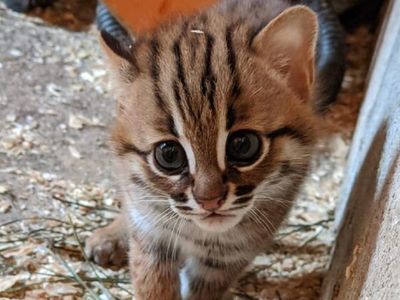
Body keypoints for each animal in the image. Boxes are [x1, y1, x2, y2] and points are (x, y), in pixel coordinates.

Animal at [86, 1, 326, 298]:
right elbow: (151, 282)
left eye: (243, 145)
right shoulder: (152, 236)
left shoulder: (226, 259)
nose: (209, 201)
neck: (199, 233)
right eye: (169, 154)